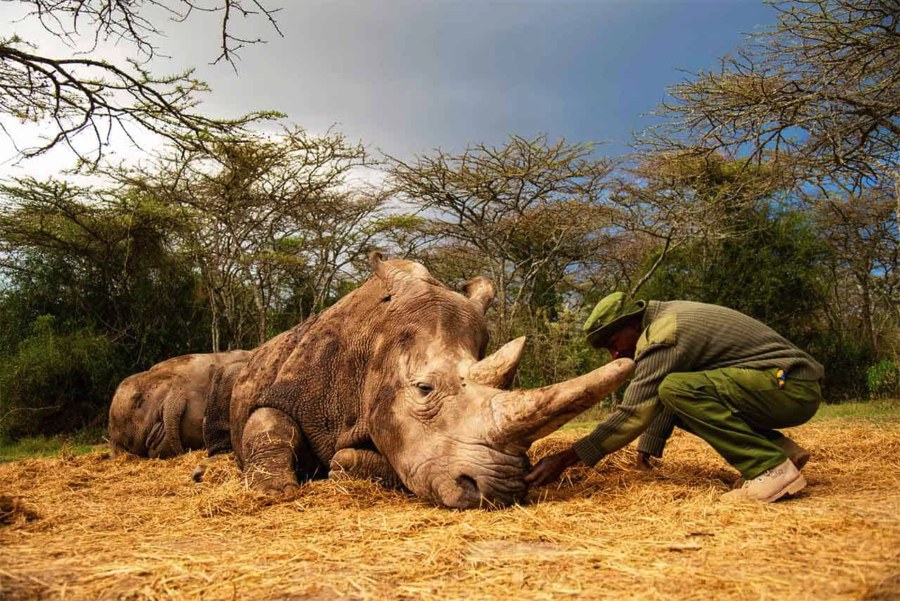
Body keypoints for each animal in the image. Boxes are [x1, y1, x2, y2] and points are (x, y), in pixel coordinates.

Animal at [212, 254, 632, 509]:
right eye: (424, 389)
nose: (502, 491)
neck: (373, 343)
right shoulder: (288, 390)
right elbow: (270, 421)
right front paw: (272, 491)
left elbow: (370, 460)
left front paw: (341, 465)